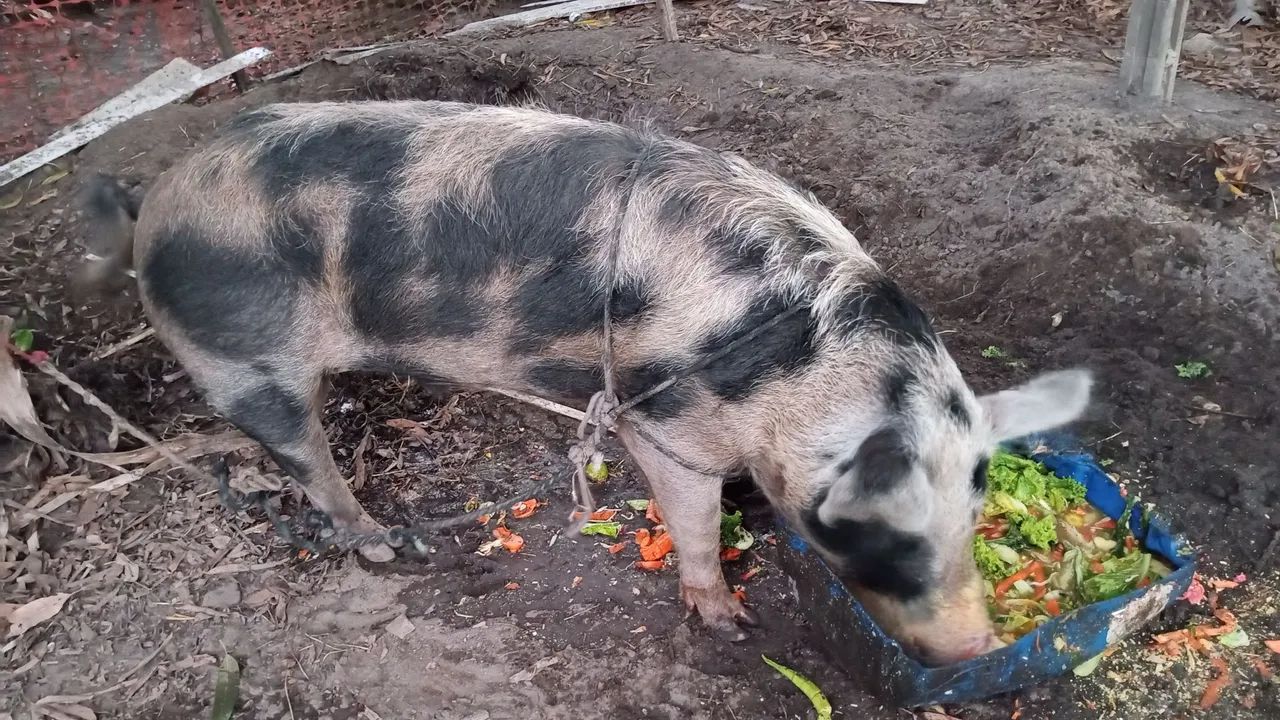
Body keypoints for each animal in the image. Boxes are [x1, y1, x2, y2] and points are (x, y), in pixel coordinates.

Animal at [78, 100, 1091, 665]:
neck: (794, 369)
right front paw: (728, 625)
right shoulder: (666, 424)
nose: (976, 648)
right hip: (240, 360)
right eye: (875, 536)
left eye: (974, 512)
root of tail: (153, 203)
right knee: (305, 461)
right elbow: (692, 524)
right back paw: (385, 544)